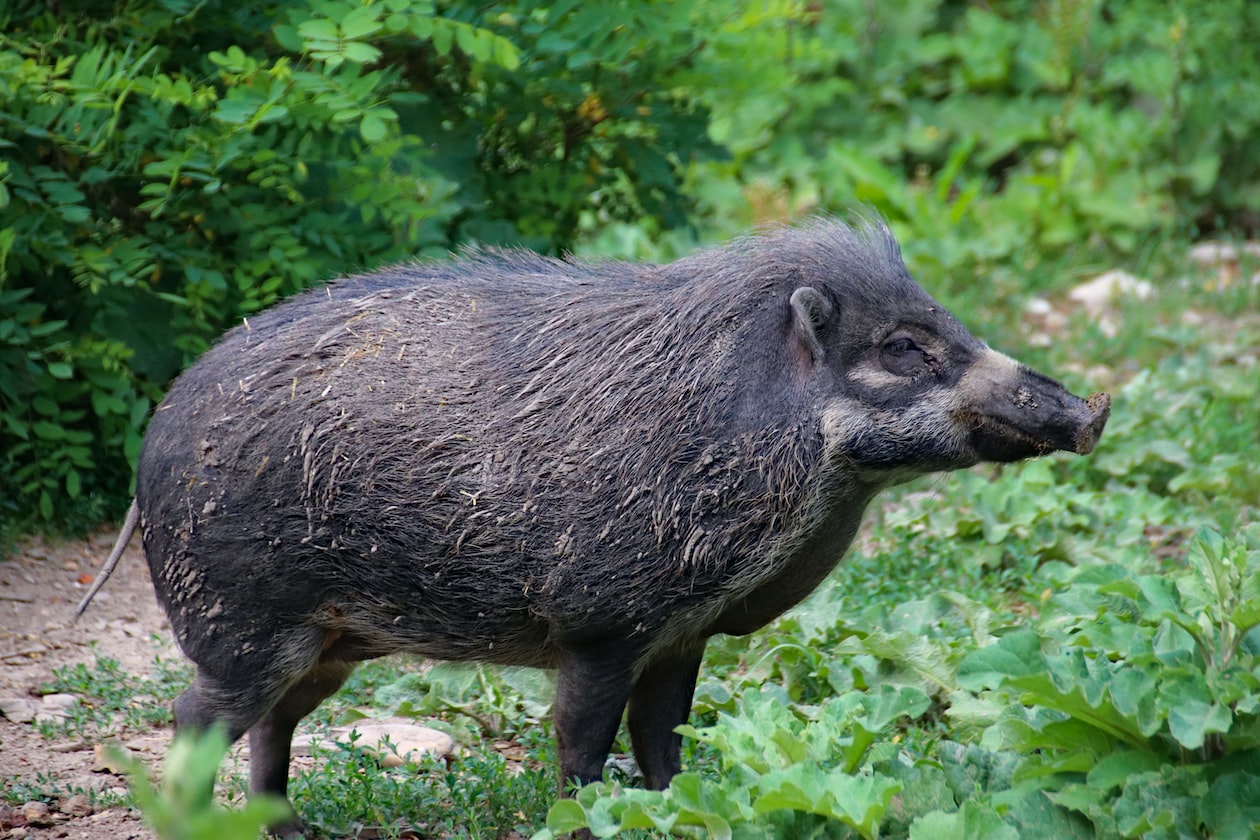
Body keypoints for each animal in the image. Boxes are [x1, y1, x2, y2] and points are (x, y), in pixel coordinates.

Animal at [78, 217, 1109, 830]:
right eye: (902, 348)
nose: (1091, 411)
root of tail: (153, 440)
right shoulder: (601, 624)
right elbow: (581, 743)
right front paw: (586, 816)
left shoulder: (684, 634)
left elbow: (666, 741)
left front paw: (680, 806)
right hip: (246, 621)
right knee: (197, 713)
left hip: (332, 643)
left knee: (272, 723)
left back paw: (289, 827)